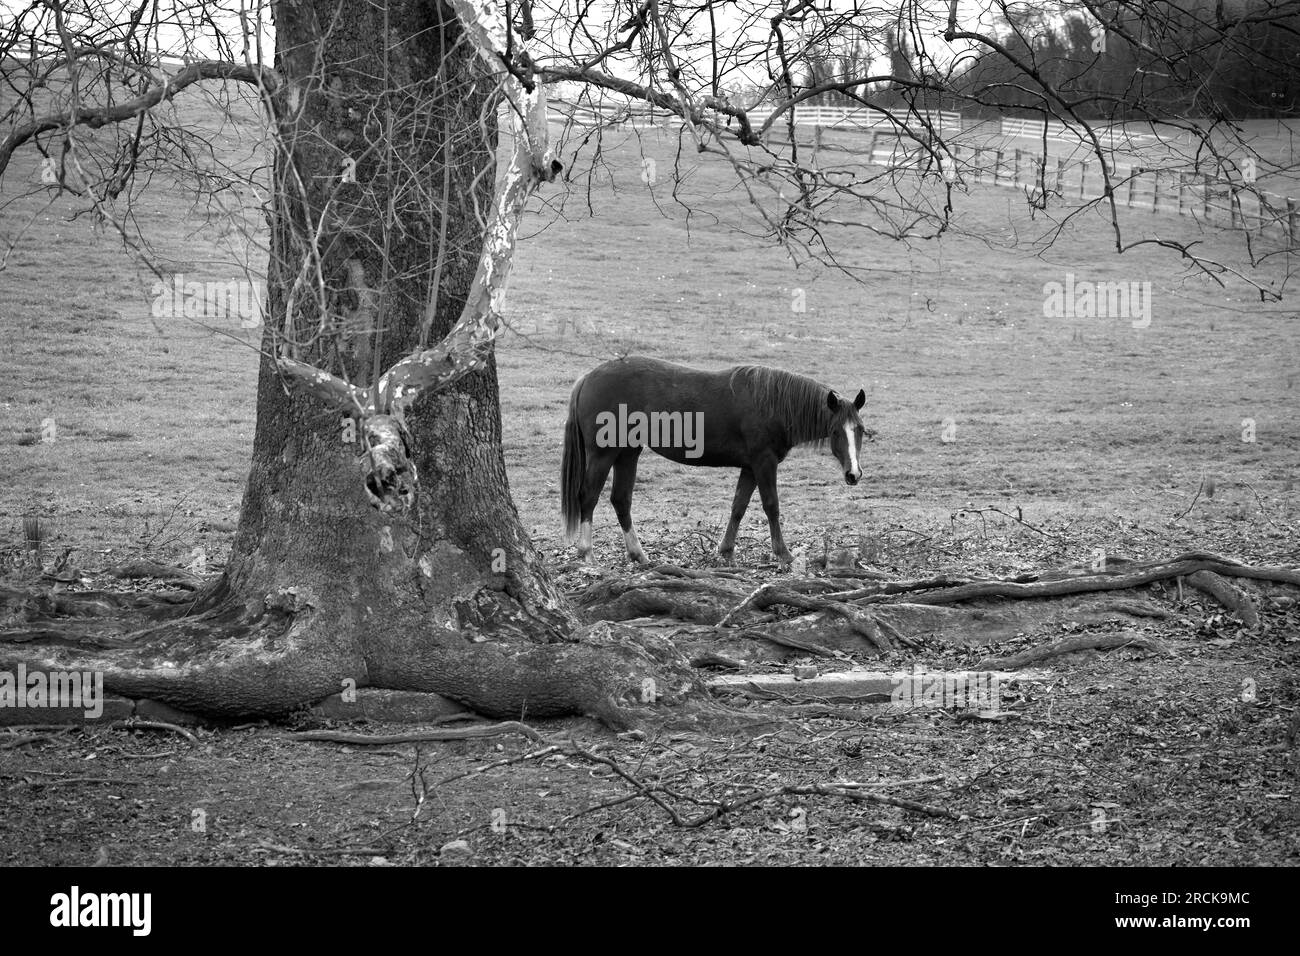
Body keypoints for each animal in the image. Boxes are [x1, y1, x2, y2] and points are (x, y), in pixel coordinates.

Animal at [561, 356, 869, 565]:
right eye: (835, 431)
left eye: (861, 430)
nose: (853, 474)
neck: (773, 404)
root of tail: (588, 378)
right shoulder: (764, 462)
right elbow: (771, 506)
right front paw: (784, 554)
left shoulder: (750, 467)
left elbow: (738, 507)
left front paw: (726, 551)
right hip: (604, 453)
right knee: (588, 496)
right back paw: (586, 552)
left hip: (628, 453)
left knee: (621, 500)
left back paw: (639, 555)